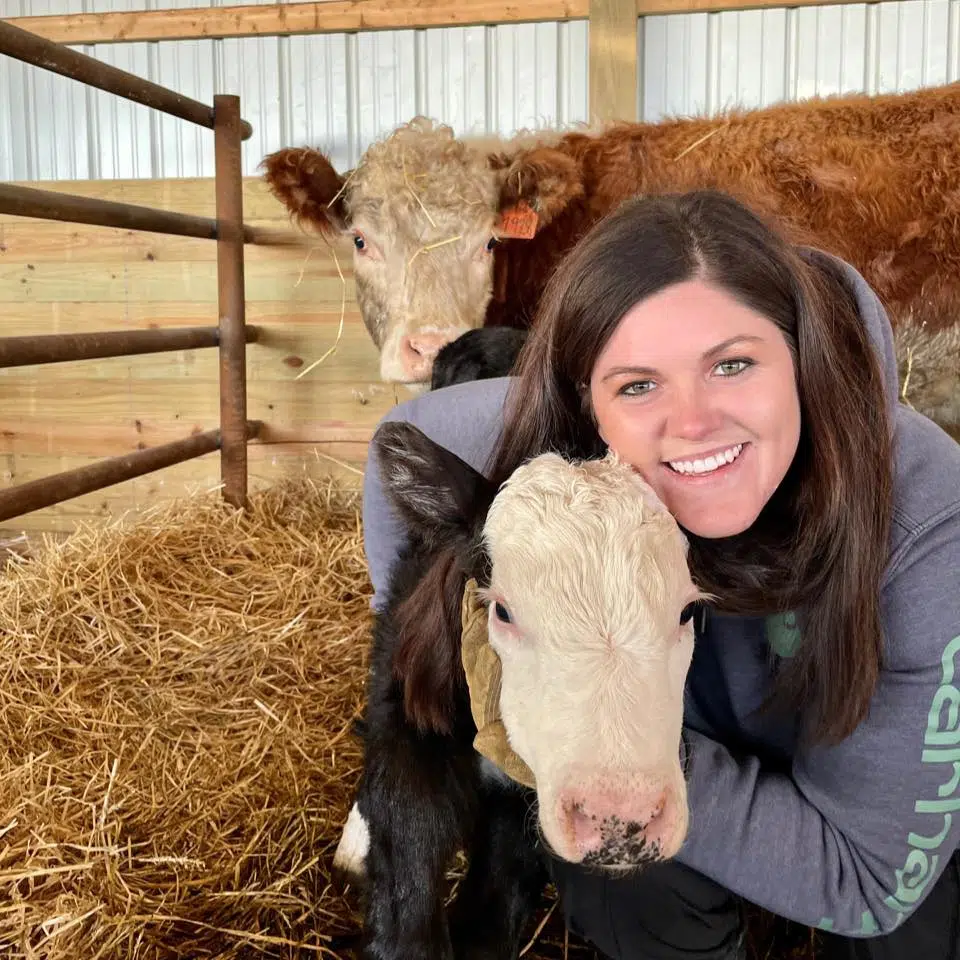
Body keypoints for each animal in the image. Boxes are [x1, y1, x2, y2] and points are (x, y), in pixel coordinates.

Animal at [340, 419, 704, 959]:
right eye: (502, 610)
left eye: (686, 611)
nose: (620, 818)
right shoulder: (407, 717)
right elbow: (408, 870)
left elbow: (492, 918)